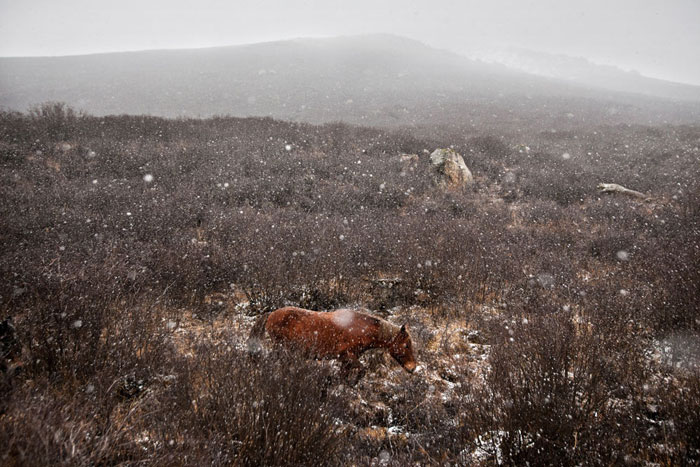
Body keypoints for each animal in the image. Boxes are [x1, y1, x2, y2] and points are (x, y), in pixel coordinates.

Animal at [248, 306, 417, 382]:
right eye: (406, 345)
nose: (412, 368)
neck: (359, 329)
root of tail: (271, 314)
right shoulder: (348, 356)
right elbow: (362, 370)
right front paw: (352, 383)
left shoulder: (345, 361)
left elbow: (342, 376)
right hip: (281, 348)